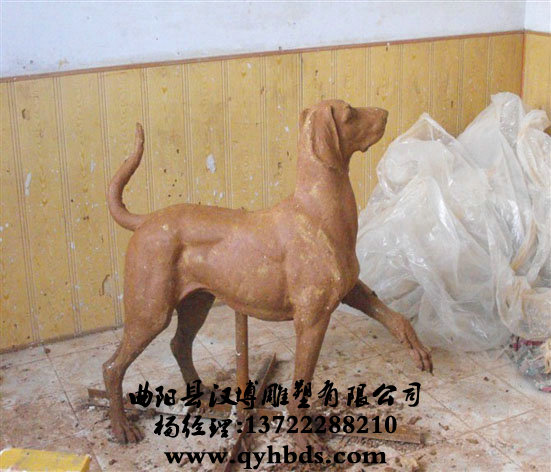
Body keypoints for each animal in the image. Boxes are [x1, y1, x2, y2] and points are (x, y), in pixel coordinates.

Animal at [103, 99, 432, 448]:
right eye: (349, 112)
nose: (385, 113)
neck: (316, 210)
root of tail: (146, 220)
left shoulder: (350, 289)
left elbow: (395, 317)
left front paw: (419, 350)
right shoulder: (312, 322)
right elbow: (300, 384)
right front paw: (303, 438)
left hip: (196, 304)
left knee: (179, 345)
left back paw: (199, 393)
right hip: (150, 313)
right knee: (112, 367)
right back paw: (121, 426)